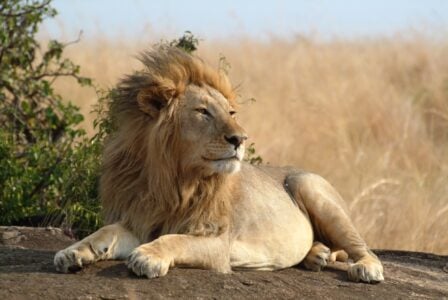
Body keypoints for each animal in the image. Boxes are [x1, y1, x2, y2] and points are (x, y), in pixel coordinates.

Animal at [54, 47, 384, 284]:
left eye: (231, 112)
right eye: (203, 112)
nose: (240, 138)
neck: (172, 180)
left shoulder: (218, 242)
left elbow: (174, 239)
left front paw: (147, 257)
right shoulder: (141, 218)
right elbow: (103, 232)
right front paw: (72, 253)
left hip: (311, 188)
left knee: (362, 247)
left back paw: (365, 268)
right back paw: (317, 255)